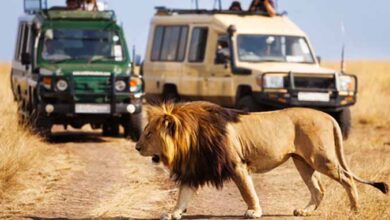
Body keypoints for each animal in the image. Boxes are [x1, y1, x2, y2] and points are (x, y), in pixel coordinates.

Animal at [136, 101, 388, 218]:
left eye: (148, 133)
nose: (137, 147)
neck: (191, 138)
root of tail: (328, 116)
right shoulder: (194, 169)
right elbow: (183, 195)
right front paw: (173, 213)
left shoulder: (237, 164)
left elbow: (247, 191)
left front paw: (254, 212)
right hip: (302, 161)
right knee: (319, 189)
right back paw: (304, 212)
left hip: (321, 157)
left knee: (347, 178)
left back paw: (354, 210)